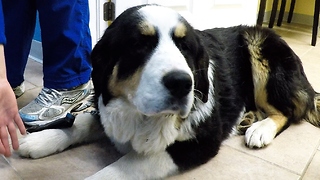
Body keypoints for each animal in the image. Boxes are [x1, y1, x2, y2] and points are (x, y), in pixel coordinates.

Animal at [18, 4, 320, 180]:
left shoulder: (201, 142)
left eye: (185, 47)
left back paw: (260, 129)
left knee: (289, 112)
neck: (141, 117)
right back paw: (248, 118)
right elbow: (81, 121)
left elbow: (127, 165)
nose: (182, 83)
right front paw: (39, 140)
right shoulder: (109, 106)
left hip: (259, 46)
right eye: (140, 44)